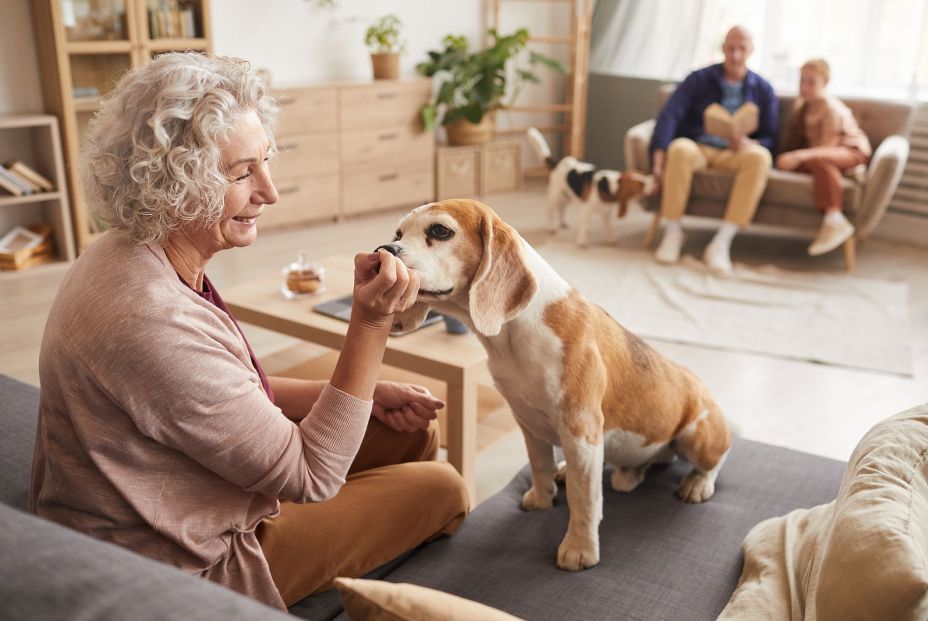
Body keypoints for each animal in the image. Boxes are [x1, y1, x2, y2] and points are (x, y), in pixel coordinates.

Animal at [384, 200, 732, 572]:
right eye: (398, 234)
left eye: (440, 231)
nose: (384, 250)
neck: (512, 335)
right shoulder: (527, 421)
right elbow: (540, 466)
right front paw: (541, 498)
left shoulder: (581, 432)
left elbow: (583, 500)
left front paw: (580, 549)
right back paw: (620, 473)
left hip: (696, 436)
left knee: (717, 458)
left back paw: (697, 484)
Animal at [524, 126, 656, 247]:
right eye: (641, 185)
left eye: (644, 174)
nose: (655, 180)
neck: (609, 185)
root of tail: (558, 163)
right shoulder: (587, 210)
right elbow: (585, 226)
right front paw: (582, 242)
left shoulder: (607, 213)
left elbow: (609, 228)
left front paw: (610, 240)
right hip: (555, 195)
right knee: (550, 211)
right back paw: (551, 227)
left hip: (567, 195)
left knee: (562, 209)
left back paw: (563, 222)